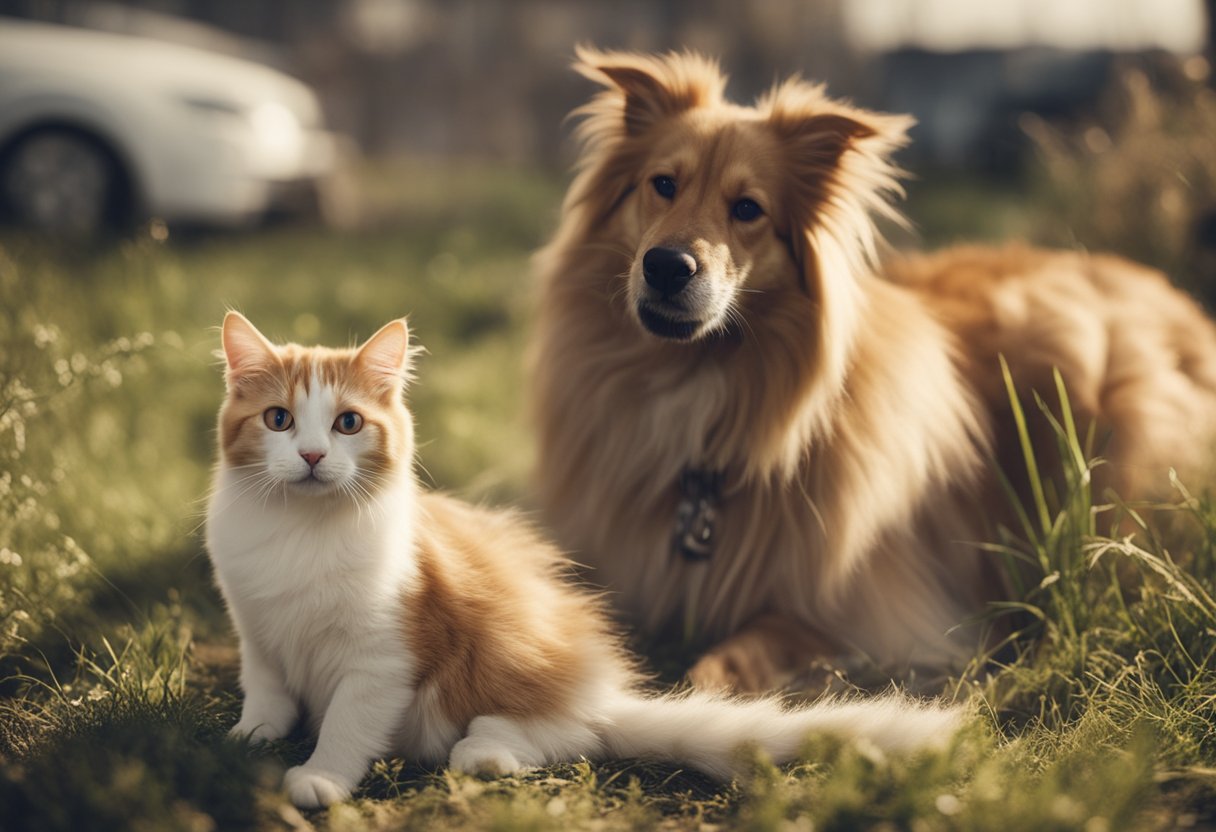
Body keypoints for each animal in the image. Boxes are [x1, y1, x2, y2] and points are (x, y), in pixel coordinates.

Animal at [204, 310, 963, 807]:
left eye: (348, 424)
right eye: (278, 420)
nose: (310, 456)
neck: (301, 533)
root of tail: (600, 693)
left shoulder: (383, 659)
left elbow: (345, 724)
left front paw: (320, 777)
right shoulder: (254, 627)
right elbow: (267, 688)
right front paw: (251, 736)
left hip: (500, 674)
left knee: (557, 738)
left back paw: (484, 754)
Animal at [530, 47, 1216, 695]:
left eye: (748, 208)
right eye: (663, 184)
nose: (666, 266)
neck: (701, 394)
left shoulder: (886, 619)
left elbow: (746, 646)